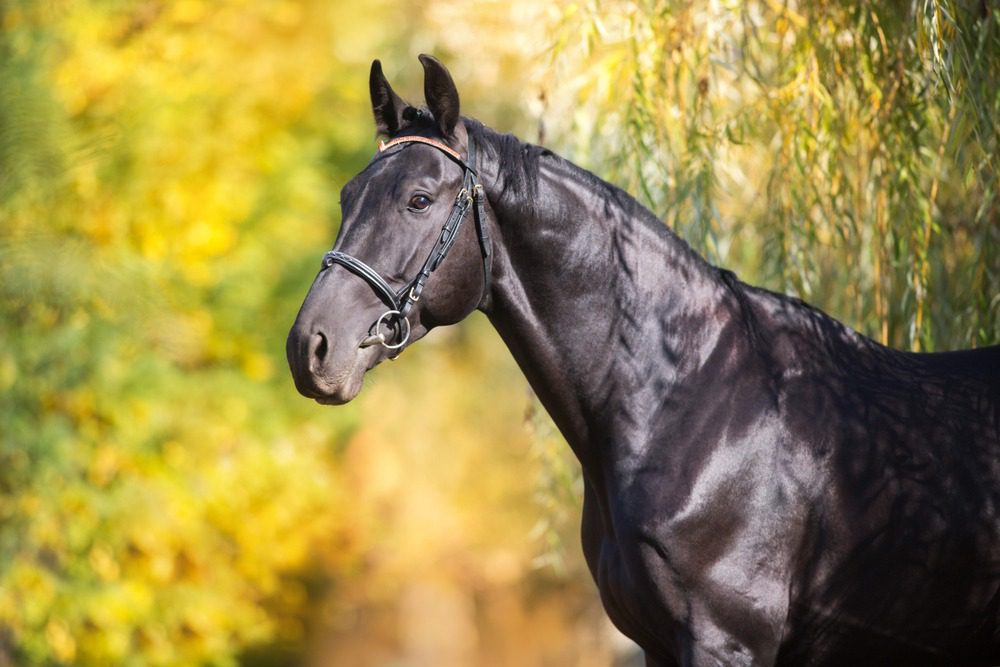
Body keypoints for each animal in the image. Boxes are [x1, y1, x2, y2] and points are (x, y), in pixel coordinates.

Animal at [286, 55, 1000, 666]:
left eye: (419, 200)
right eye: (347, 195)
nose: (309, 348)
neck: (689, 399)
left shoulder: (726, 642)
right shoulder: (656, 645)